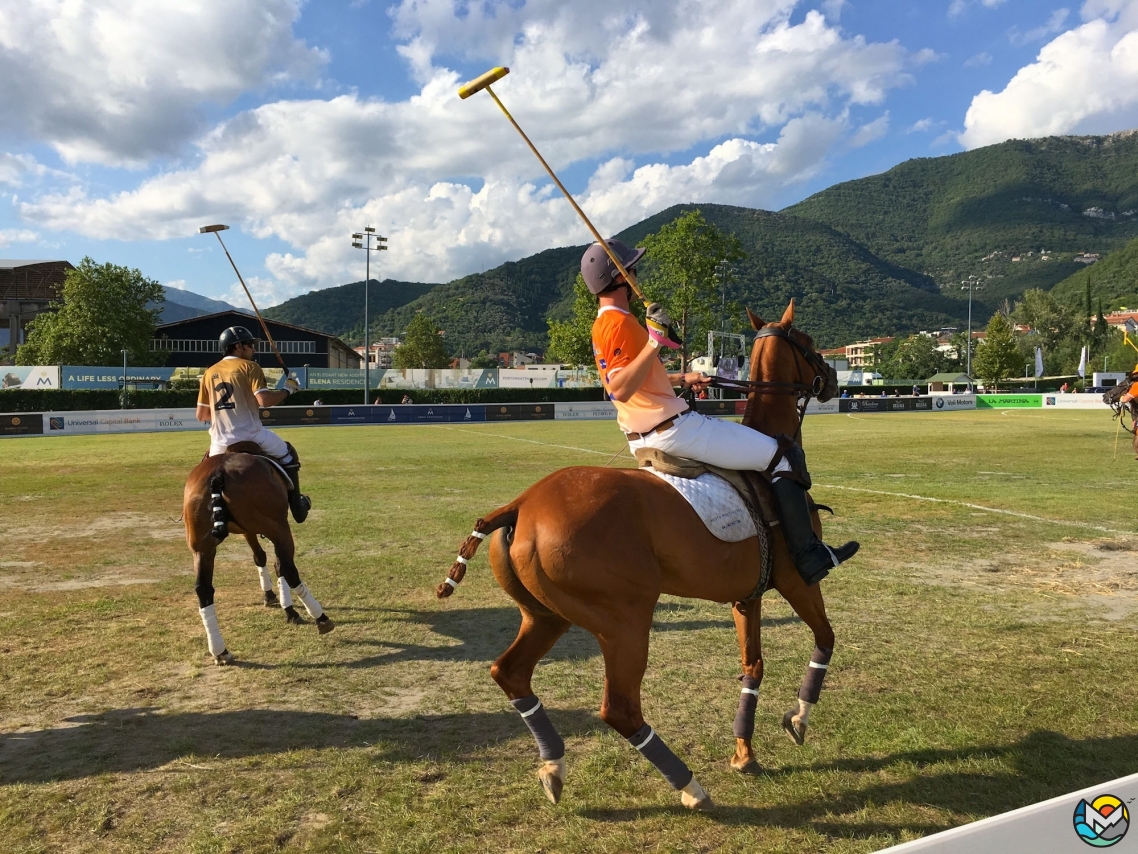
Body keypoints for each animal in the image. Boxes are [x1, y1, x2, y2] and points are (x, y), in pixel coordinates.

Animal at [182, 444, 332, 664]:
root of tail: (218, 474)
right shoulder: (276, 527)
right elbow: (279, 564)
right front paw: (288, 609)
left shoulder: (247, 530)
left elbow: (259, 556)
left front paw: (270, 596)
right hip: (277, 526)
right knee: (288, 568)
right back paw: (320, 618)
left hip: (202, 546)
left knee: (203, 589)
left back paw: (220, 651)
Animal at [439, 300, 842, 810]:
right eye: (809, 345)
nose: (832, 380)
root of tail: (520, 504)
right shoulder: (796, 581)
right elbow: (825, 638)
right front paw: (799, 719)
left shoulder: (746, 595)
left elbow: (752, 667)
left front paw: (744, 754)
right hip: (625, 620)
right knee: (620, 708)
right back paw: (691, 788)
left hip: (546, 614)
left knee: (510, 673)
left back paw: (553, 767)